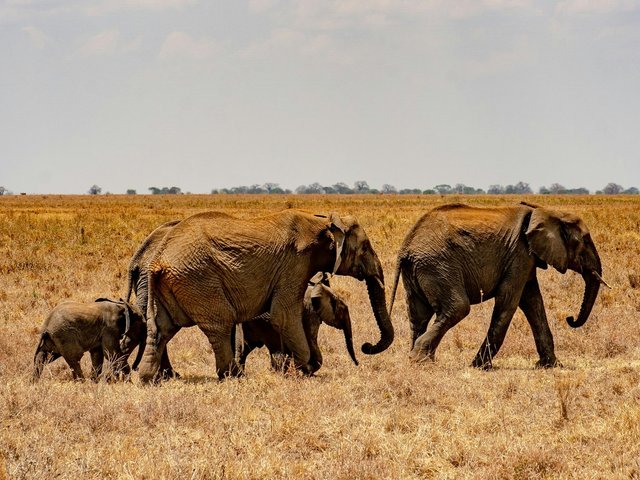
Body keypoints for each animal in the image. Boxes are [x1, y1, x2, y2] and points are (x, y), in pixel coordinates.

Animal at [138, 210, 392, 382]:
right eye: (365, 248)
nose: (366, 347)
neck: (323, 223)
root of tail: (158, 260)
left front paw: (298, 368)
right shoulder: (295, 263)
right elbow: (284, 316)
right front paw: (302, 369)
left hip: (170, 284)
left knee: (161, 328)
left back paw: (148, 378)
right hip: (198, 278)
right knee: (220, 323)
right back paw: (234, 375)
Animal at [390, 202, 604, 368]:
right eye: (585, 240)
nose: (570, 319)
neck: (545, 211)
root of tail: (406, 247)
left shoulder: (526, 258)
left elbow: (533, 302)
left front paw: (551, 366)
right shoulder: (519, 253)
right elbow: (509, 300)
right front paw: (478, 366)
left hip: (419, 269)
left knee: (419, 314)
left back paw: (419, 359)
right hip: (438, 265)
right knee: (458, 308)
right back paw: (421, 360)